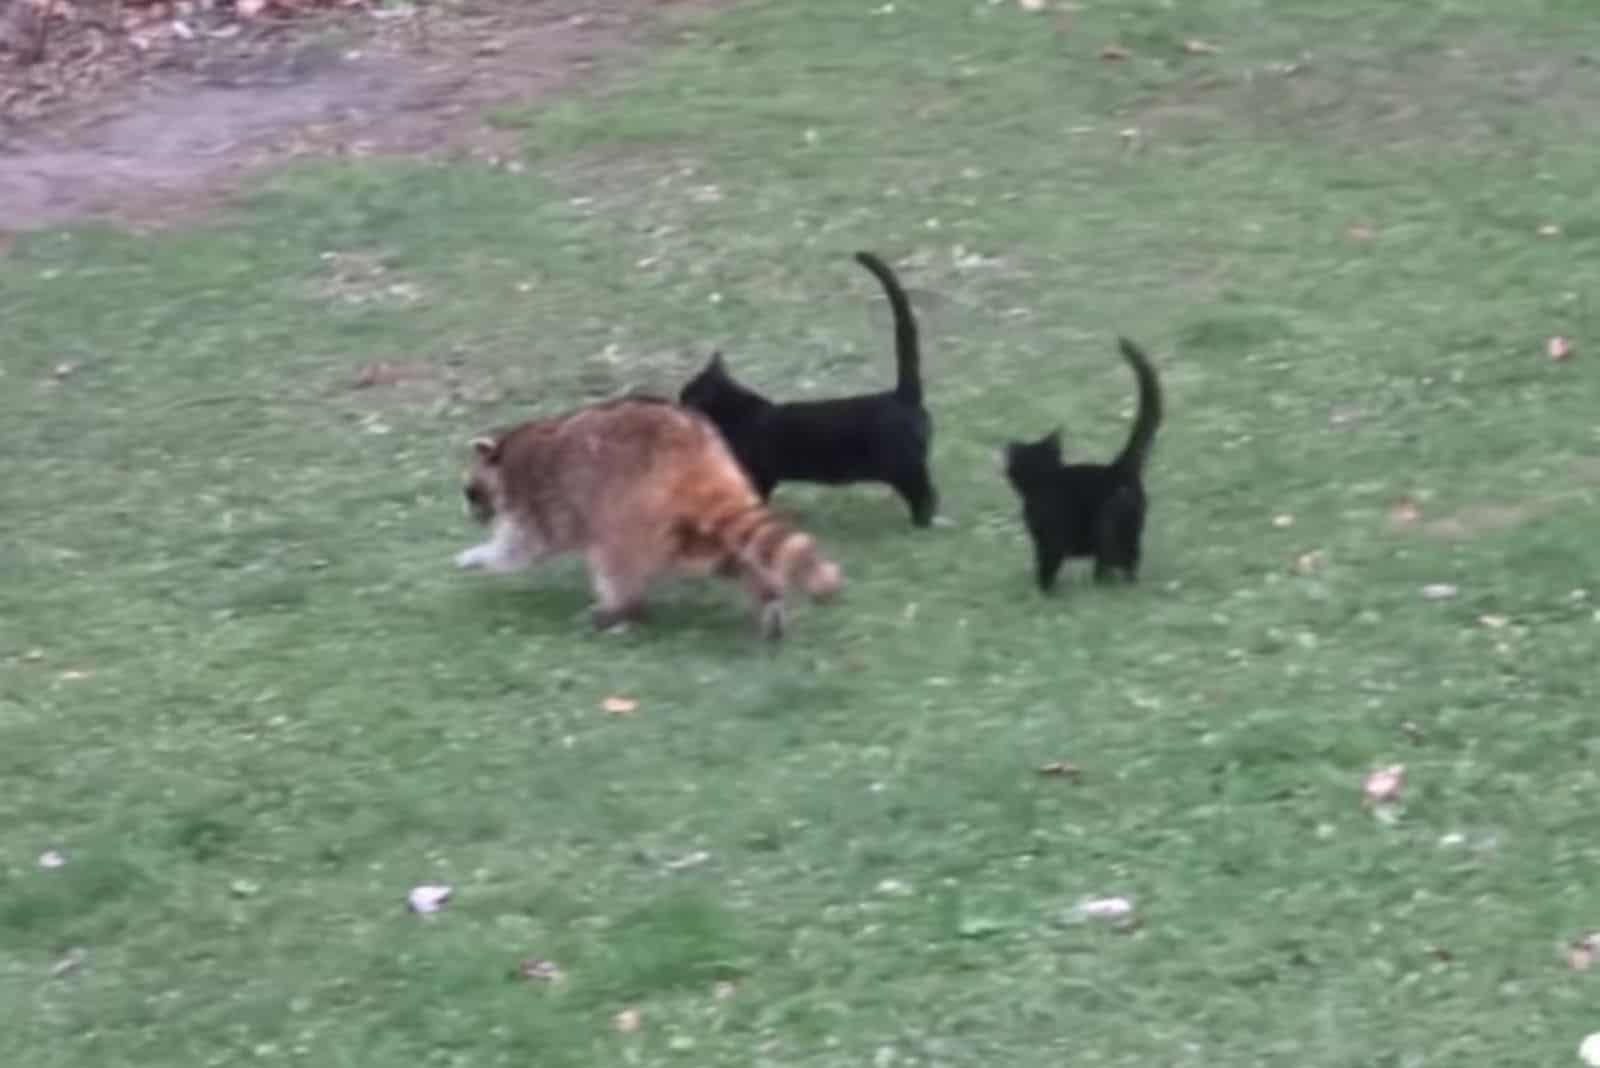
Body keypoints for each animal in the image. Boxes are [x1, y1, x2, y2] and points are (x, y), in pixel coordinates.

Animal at [678, 255, 934, 530]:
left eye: (687, 394)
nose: (677, 401)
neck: (737, 412)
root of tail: (902, 395)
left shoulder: (759, 472)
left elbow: (756, 497)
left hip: (902, 465)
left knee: (924, 492)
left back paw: (921, 523)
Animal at [998, 335, 1164, 591]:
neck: (1044, 480)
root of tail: (1118, 468)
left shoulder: (1049, 539)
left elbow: (1046, 568)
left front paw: (1044, 593)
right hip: (1130, 532)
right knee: (1131, 560)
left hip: (1107, 529)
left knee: (1114, 560)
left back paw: (1106, 585)